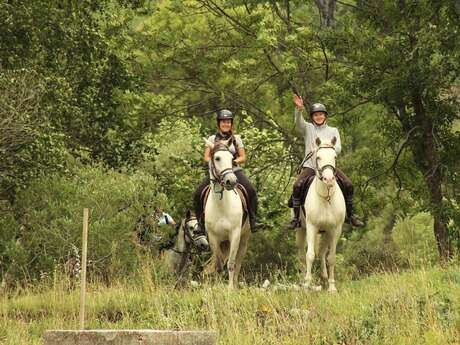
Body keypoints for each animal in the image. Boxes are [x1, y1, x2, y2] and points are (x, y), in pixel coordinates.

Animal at [203, 138, 250, 288]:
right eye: (217, 158)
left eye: (231, 159)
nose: (231, 181)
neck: (222, 205)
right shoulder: (213, 237)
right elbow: (218, 264)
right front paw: (217, 286)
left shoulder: (235, 234)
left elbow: (231, 263)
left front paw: (230, 288)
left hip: (244, 238)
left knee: (238, 263)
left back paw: (235, 285)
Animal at [298, 136, 344, 292]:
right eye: (318, 157)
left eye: (334, 157)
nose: (328, 179)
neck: (326, 197)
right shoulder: (311, 227)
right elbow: (310, 255)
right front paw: (307, 284)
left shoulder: (335, 229)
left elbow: (331, 257)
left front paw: (332, 287)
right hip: (301, 229)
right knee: (302, 253)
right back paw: (303, 278)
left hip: (326, 232)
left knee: (323, 252)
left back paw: (324, 277)